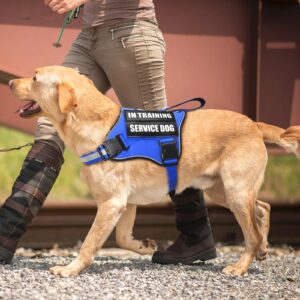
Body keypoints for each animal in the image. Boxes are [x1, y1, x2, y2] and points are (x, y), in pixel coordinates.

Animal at [9, 65, 300, 276]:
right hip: (222, 191)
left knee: (251, 233)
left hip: (235, 191)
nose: (10, 83)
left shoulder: (112, 203)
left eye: (34, 77)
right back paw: (263, 248)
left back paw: (240, 266)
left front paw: (70, 269)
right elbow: (122, 237)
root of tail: (254, 124)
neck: (98, 127)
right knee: (263, 208)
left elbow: (90, 242)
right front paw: (144, 246)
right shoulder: (126, 203)